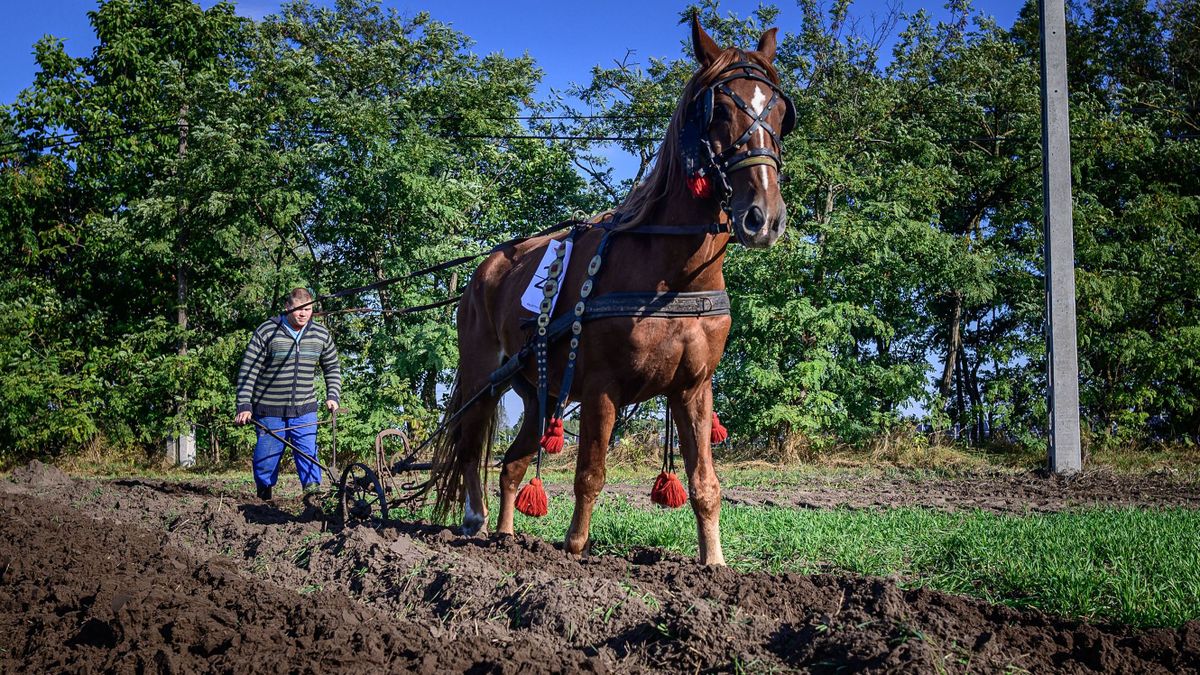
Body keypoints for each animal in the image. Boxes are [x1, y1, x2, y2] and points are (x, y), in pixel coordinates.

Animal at [427, 17, 792, 562]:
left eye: (781, 112)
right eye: (721, 110)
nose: (764, 218)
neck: (672, 276)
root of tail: (483, 271)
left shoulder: (694, 387)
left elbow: (705, 483)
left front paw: (714, 562)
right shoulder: (603, 386)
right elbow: (590, 475)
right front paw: (574, 548)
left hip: (536, 391)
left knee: (511, 465)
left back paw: (507, 537)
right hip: (480, 376)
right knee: (472, 447)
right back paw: (475, 521)